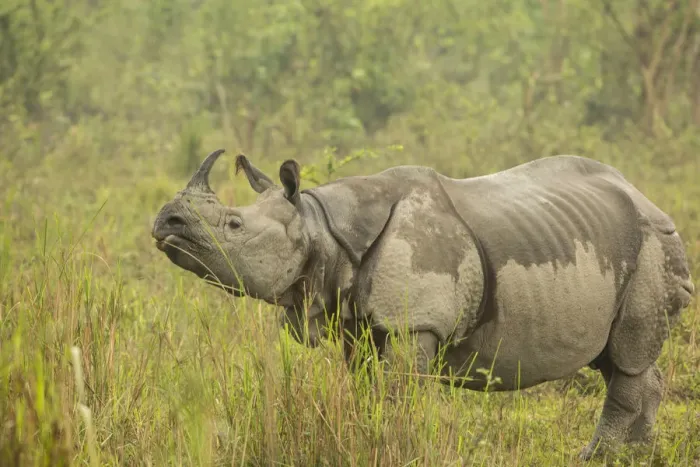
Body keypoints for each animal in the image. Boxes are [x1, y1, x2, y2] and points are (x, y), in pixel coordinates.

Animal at [151, 149, 694, 459]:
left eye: (234, 225)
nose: (165, 222)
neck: (320, 224)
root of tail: (646, 198)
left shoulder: (415, 324)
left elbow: (397, 395)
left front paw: (394, 444)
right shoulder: (356, 323)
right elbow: (366, 390)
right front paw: (366, 436)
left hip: (654, 242)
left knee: (626, 353)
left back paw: (596, 457)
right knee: (616, 356)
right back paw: (641, 454)